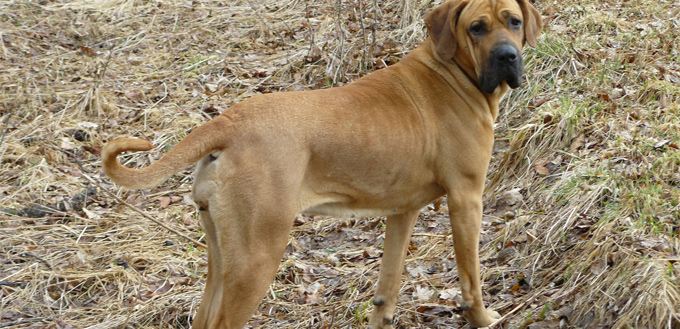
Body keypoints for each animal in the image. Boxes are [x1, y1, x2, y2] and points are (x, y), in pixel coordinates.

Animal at [101, 0, 540, 326]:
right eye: (477, 28)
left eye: (514, 22)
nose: (507, 56)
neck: (454, 71)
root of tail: (227, 121)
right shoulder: (466, 198)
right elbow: (471, 277)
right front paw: (483, 318)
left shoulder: (402, 211)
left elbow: (388, 285)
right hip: (258, 254)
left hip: (222, 251)